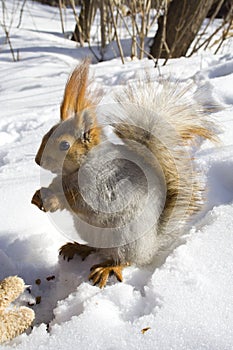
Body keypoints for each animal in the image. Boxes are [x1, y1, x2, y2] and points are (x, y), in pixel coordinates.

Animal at [31, 58, 217, 288]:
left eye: (64, 145)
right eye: (45, 135)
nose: (37, 160)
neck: (79, 168)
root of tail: (152, 245)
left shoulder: (105, 185)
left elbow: (85, 202)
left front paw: (54, 199)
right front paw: (39, 195)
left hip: (126, 240)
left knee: (125, 260)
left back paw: (108, 268)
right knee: (97, 249)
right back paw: (79, 247)